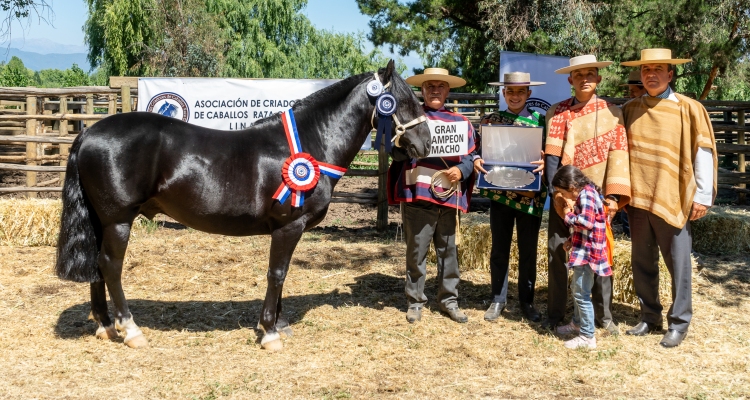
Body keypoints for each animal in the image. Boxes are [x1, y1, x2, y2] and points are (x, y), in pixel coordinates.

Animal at [55, 60, 432, 350]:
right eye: (402, 101)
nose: (426, 143)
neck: (311, 141)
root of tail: (87, 133)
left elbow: (282, 275)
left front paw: (279, 325)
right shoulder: (288, 226)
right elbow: (277, 274)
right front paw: (269, 333)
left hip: (101, 221)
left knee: (97, 265)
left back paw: (105, 325)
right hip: (118, 220)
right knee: (110, 266)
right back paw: (130, 330)